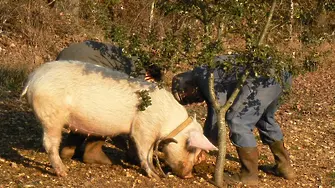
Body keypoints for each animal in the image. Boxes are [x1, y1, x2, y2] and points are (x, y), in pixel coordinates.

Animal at [22, 60, 219, 179]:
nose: (188, 175)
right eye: (191, 148)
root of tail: (32, 78)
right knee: (49, 143)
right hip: (52, 116)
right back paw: (64, 172)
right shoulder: (144, 128)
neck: (167, 122)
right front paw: (155, 176)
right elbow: (145, 152)